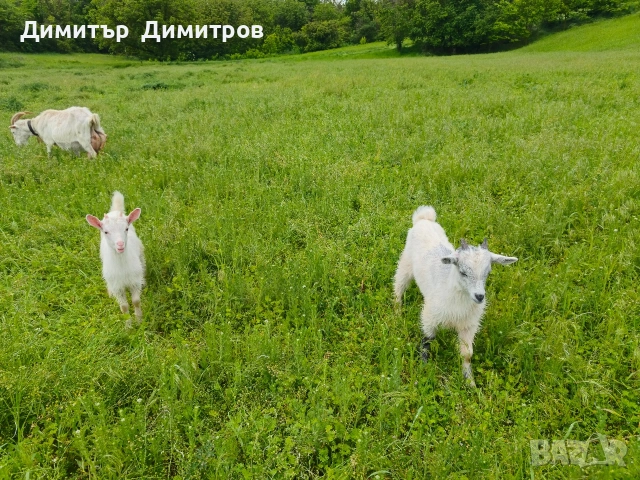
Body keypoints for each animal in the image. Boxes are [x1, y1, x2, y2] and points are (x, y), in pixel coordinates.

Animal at [86, 192, 145, 327]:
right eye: (106, 232)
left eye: (126, 228)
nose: (120, 245)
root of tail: (114, 211)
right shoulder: (117, 286)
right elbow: (124, 307)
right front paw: (128, 326)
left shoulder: (134, 281)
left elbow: (136, 301)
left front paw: (139, 321)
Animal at [394, 206, 517, 386]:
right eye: (463, 272)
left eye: (488, 273)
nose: (479, 296)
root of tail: (424, 219)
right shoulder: (430, 316)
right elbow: (427, 341)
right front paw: (424, 368)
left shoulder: (468, 325)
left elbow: (467, 354)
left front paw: (470, 382)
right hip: (406, 263)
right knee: (399, 284)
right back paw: (397, 309)